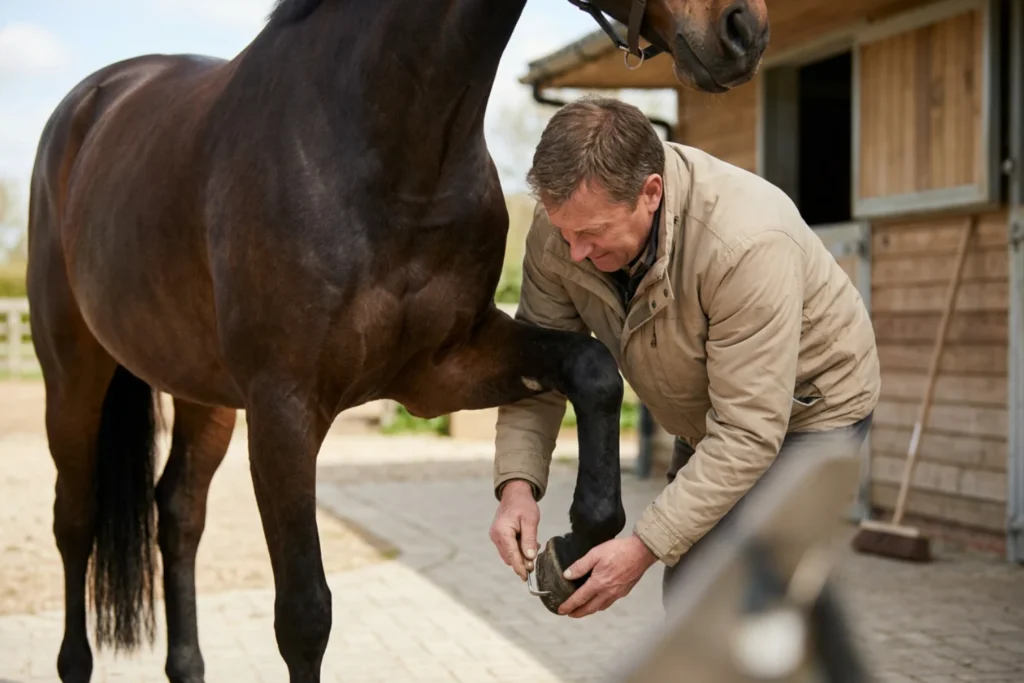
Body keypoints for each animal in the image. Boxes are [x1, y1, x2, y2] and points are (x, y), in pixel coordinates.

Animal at [25, 1, 768, 681]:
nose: (744, 29)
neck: (383, 144)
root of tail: (92, 101)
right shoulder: (284, 409)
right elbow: (304, 615)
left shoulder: (444, 369)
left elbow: (592, 369)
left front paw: (573, 541)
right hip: (73, 374)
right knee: (75, 519)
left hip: (204, 395)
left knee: (178, 513)